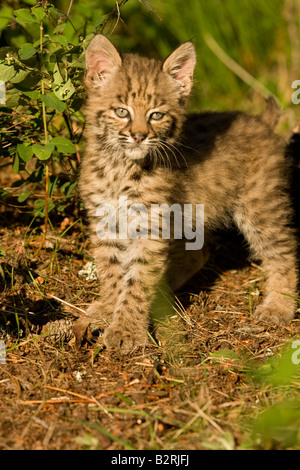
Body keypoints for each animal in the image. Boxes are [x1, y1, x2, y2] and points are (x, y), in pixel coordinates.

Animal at [79, 35, 298, 352]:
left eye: (156, 115)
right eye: (122, 111)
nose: (139, 136)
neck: (119, 165)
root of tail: (260, 120)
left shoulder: (150, 226)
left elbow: (137, 279)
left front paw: (126, 330)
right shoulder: (105, 220)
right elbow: (111, 271)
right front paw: (109, 308)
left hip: (260, 207)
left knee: (283, 251)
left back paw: (279, 306)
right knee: (200, 253)